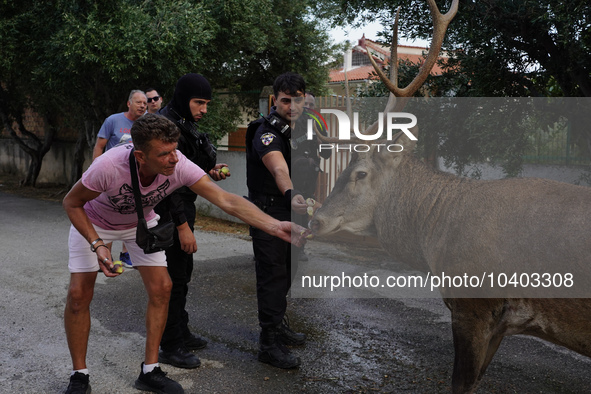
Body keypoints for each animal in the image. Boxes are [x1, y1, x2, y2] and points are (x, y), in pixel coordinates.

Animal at [310, 1, 591, 392]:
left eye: (360, 173)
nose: (314, 219)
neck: (435, 237)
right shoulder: (499, 322)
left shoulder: (474, 303)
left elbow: (460, 383)